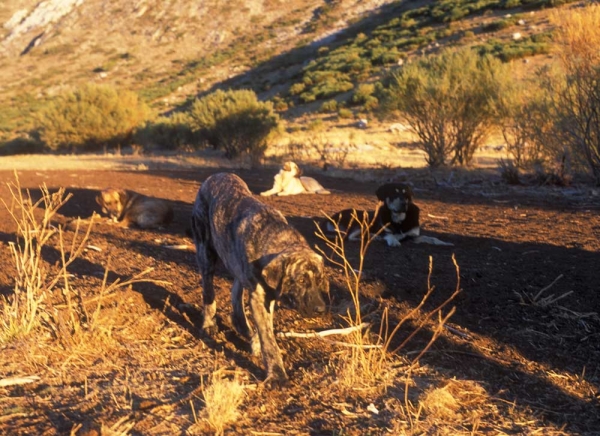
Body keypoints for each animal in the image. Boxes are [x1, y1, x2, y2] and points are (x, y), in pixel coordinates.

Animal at [190, 173, 328, 384]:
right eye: (301, 281)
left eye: (319, 281)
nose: (320, 309)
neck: (277, 240)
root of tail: (213, 176)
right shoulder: (259, 297)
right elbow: (268, 339)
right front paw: (277, 374)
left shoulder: (267, 296)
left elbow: (266, 328)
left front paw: (255, 340)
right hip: (206, 254)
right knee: (209, 293)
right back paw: (208, 324)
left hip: (235, 260)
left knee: (236, 290)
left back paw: (241, 324)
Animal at [322, 182, 452, 247]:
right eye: (394, 194)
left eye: (406, 195)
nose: (404, 204)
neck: (399, 219)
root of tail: (330, 218)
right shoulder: (385, 231)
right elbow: (390, 235)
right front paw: (393, 241)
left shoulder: (412, 235)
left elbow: (430, 238)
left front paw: (444, 243)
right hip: (361, 222)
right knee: (350, 236)